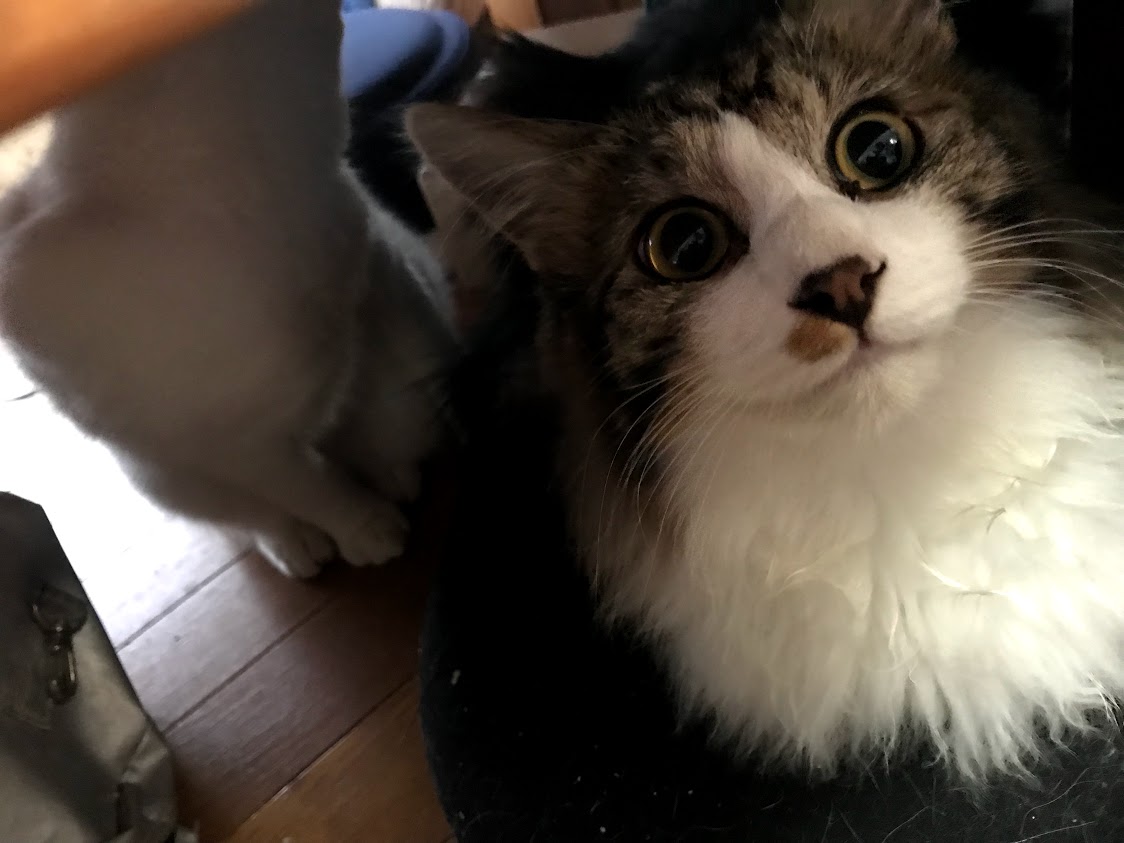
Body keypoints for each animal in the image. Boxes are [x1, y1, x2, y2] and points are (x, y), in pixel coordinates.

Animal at [0, 0, 454, 578]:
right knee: (258, 517)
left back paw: (394, 477)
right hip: (163, 477)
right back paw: (300, 547)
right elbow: (313, 491)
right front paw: (367, 529)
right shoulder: (232, 445)